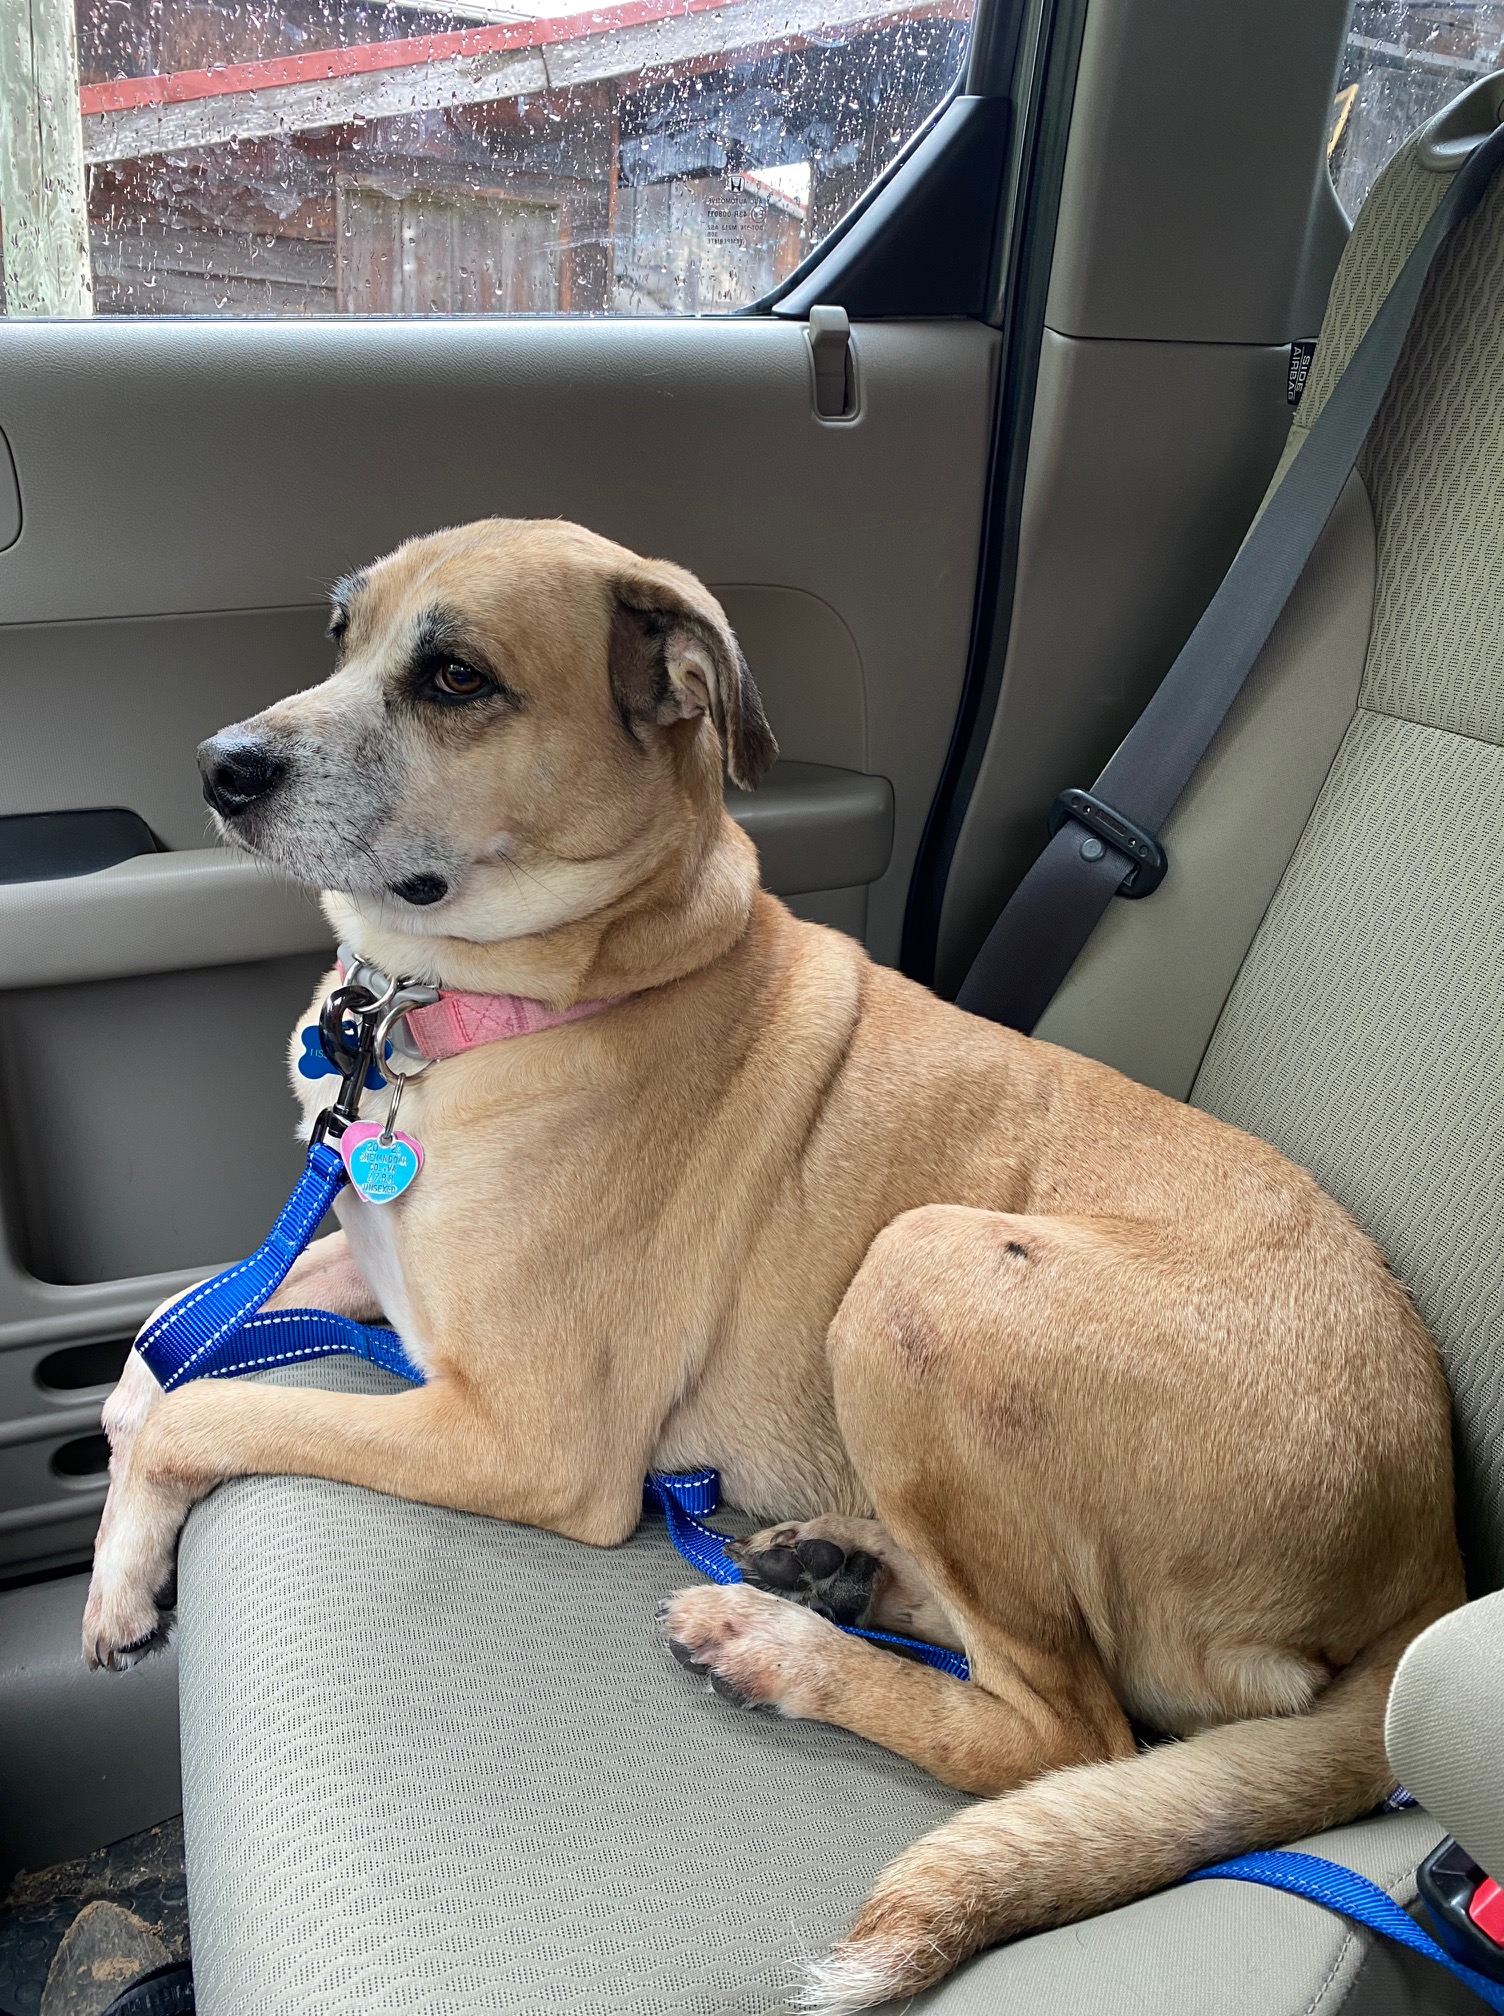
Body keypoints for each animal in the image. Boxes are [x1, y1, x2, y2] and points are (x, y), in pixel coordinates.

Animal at [84, 518, 1464, 2010]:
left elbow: (210, 1407)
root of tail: (1433, 1557)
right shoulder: (370, 1275)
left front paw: (130, 1548)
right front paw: (125, 1553)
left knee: (1067, 1733)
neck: (505, 1000)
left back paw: (788, 1647)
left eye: (455, 678)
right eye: (341, 633)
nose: (219, 768)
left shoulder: (522, 1437)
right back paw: (841, 1573)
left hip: (921, 1271)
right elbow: (153, 1361)